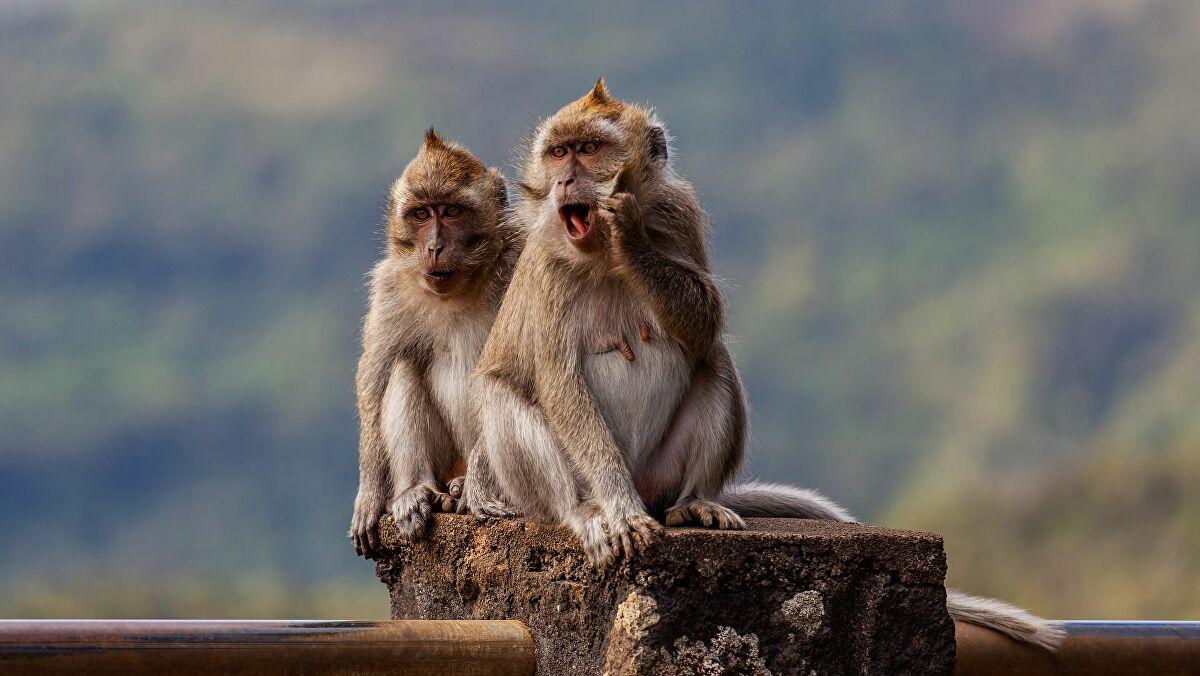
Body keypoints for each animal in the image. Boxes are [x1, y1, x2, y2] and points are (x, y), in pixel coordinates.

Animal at [350, 128, 520, 559]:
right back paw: (417, 491)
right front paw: (370, 493)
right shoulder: (390, 286)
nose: (434, 247)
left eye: (452, 212)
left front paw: (478, 489)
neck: (459, 288)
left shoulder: (519, 264)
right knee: (403, 364)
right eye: (422, 214)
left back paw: (465, 487)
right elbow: (375, 375)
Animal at [462, 79, 1063, 650]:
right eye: (558, 153)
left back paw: (694, 504)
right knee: (502, 396)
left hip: (661, 471)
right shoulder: (547, 264)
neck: (596, 255)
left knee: (714, 360)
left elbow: (704, 320)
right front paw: (614, 507)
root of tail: (652, 488)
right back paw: (586, 511)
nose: (565, 181)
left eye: (588, 150)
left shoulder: (679, 213)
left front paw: (629, 234)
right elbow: (559, 381)